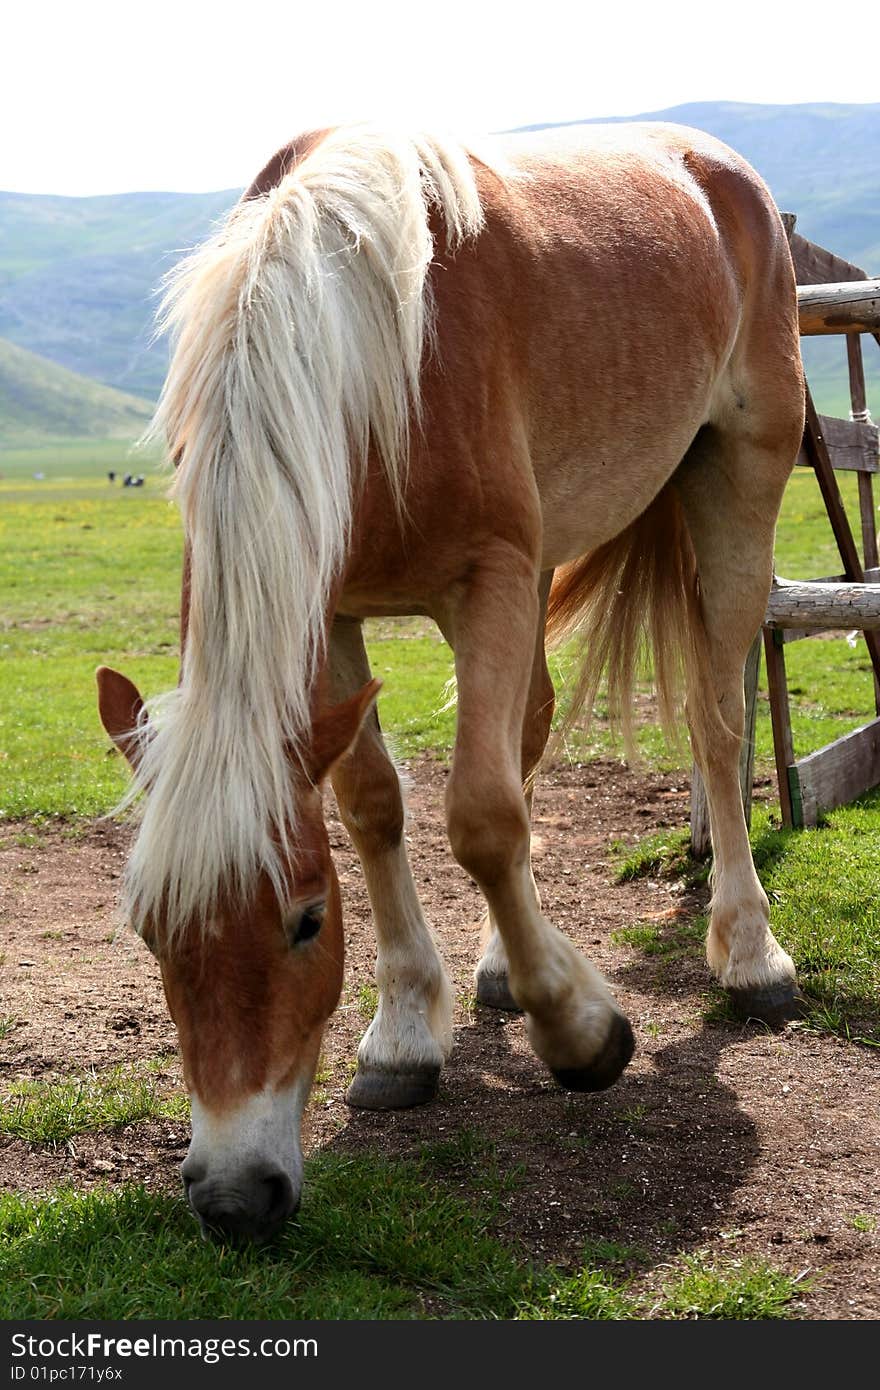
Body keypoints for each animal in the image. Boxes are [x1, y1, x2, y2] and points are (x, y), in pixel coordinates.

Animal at [94, 125, 800, 1245]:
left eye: (306, 920)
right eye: (152, 930)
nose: (233, 1197)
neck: (367, 345)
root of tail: (714, 167)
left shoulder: (490, 581)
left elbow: (479, 818)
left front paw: (582, 1032)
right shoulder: (335, 612)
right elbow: (375, 804)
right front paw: (403, 1034)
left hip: (738, 480)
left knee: (716, 723)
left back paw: (749, 953)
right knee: (537, 726)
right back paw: (506, 965)